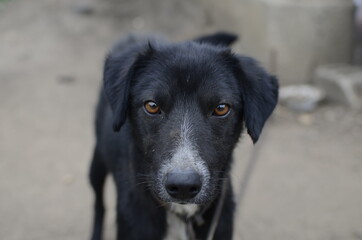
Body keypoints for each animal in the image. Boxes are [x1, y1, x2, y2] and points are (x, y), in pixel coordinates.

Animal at [89, 32, 278, 240]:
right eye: (151, 106)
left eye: (221, 108)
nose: (183, 186)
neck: (182, 216)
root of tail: (136, 34)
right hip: (97, 164)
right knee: (98, 203)